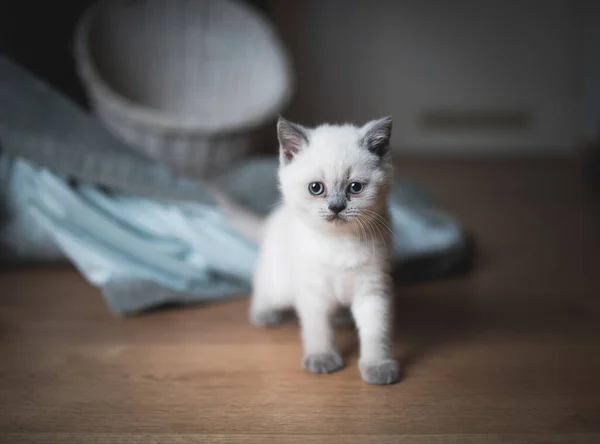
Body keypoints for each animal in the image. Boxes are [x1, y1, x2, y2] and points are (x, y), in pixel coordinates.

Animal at [251, 116, 400, 384]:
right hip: (280, 284)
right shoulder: (312, 291)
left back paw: (342, 317)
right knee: (262, 289)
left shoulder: (372, 288)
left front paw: (378, 366)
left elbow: (376, 332)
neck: (340, 242)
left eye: (355, 187)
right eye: (316, 188)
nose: (337, 207)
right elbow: (318, 328)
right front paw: (322, 358)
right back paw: (264, 315)